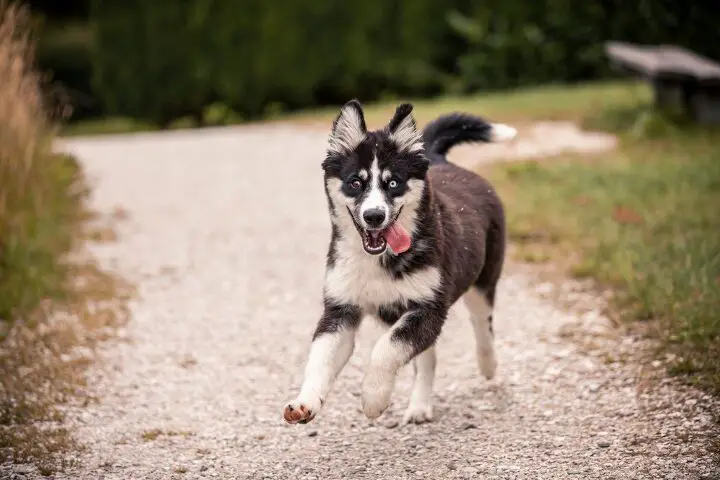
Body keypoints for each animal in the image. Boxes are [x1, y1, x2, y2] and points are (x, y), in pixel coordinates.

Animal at [284, 100, 516, 424]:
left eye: (393, 183)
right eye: (355, 182)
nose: (374, 216)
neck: (379, 261)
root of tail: (439, 159)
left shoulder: (429, 308)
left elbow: (386, 349)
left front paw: (373, 398)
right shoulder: (341, 308)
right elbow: (320, 357)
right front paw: (305, 402)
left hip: (482, 282)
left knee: (483, 326)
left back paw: (488, 366)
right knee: (428, 358)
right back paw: (419, 406)